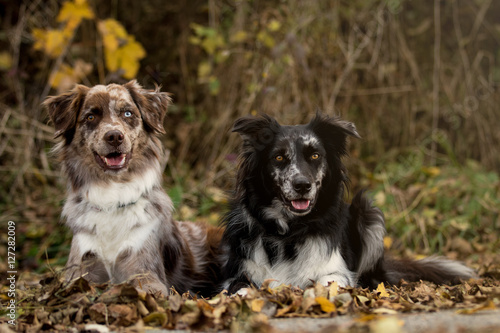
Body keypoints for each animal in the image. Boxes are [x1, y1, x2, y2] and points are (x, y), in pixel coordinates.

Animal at [222, 113, 476, 290]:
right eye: (279, 157)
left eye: (315, 155)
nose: (302, 185)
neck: (289, 234)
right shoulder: (238, 274)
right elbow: (240, 289)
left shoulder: (336, 271)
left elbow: (326, 286)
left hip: (368, 212)